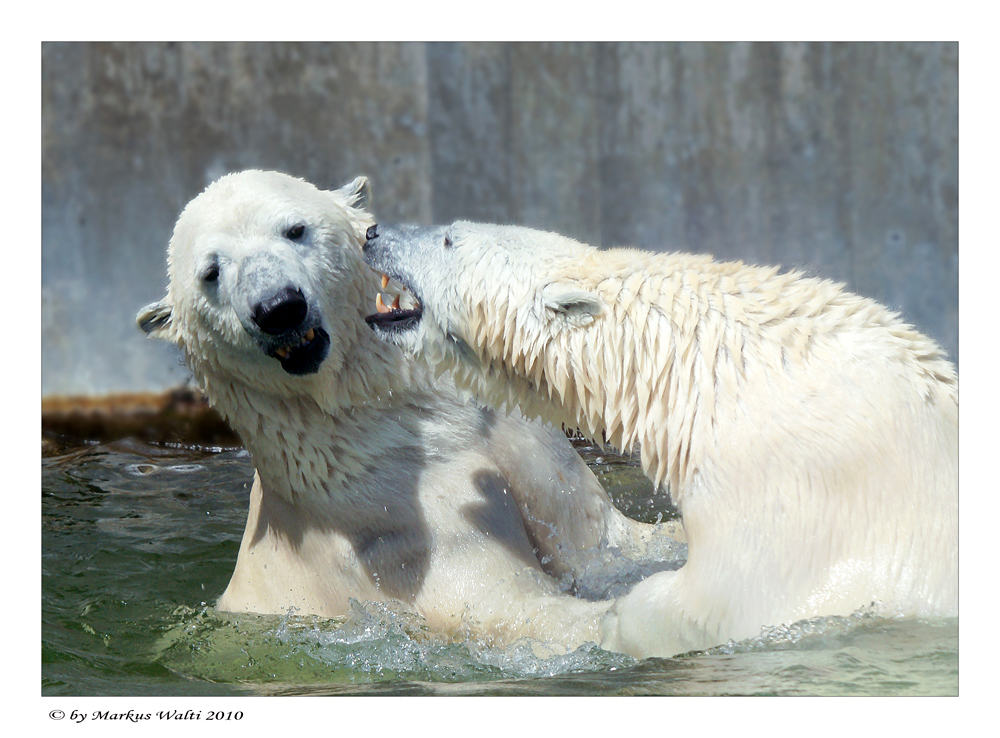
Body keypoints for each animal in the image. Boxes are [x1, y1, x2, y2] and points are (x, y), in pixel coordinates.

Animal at [135, 171, 688, 648]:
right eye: (210, 272)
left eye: (294, 229)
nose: (278, 308)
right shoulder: (394, 526)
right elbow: (506, 605)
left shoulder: (524, 448)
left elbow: (607, 538)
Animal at [364, 220, 956, 656]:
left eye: (449, 237)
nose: (373, 231)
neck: (703, 368)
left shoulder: (784, 491)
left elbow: (720, 600)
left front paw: (614, 620)